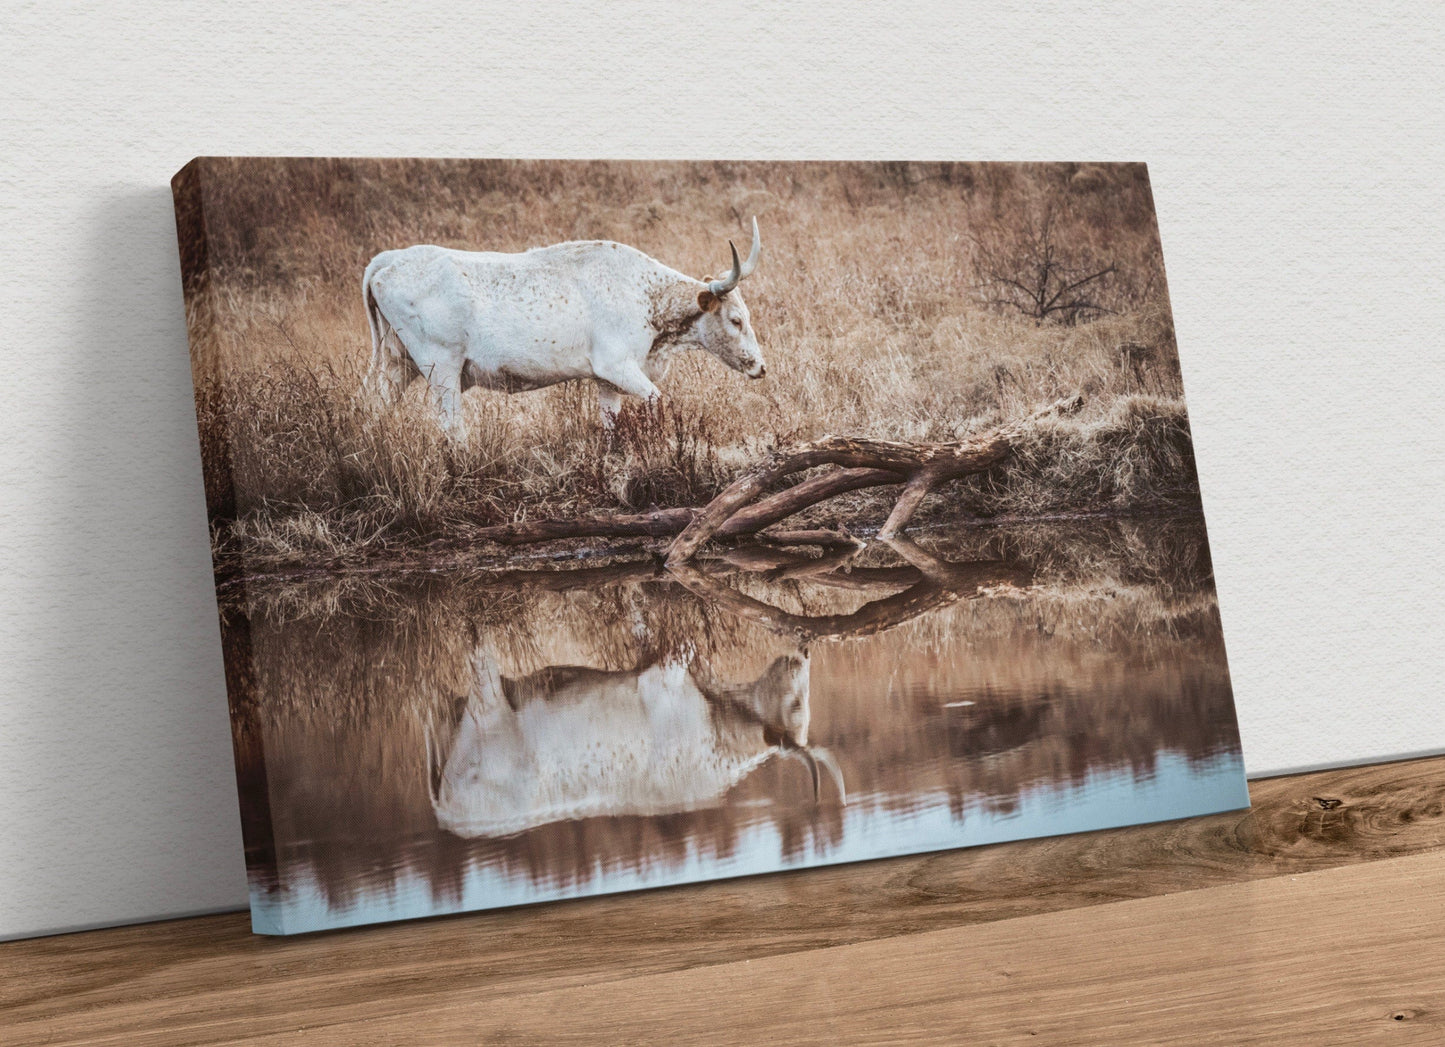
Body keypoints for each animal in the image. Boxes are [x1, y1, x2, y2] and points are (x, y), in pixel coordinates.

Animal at [361, 218, 768, 436]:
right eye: (735, 320)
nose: (761, 367)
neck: (643, 292)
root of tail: (390, 259)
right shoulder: (618, 366)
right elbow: (656, 400)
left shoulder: (607, 380)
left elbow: (610, 424)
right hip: (441, 367)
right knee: (452, 426)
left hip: (396, 364)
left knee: (373, 409)